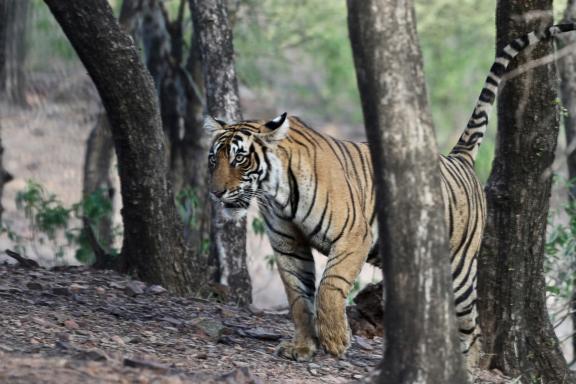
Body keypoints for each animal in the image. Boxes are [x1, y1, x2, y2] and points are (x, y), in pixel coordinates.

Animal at [205, 24, 572, 366]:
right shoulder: (288, 242)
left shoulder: (353, 236)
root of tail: (459, 157)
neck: (276, 192)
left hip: (460, 269)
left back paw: (466, 368)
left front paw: (336, 340)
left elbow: (329, 286)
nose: (215, 192)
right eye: (213, 159)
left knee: (472, 329)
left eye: (239, 158)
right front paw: (302, 347)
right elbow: (298, 298)